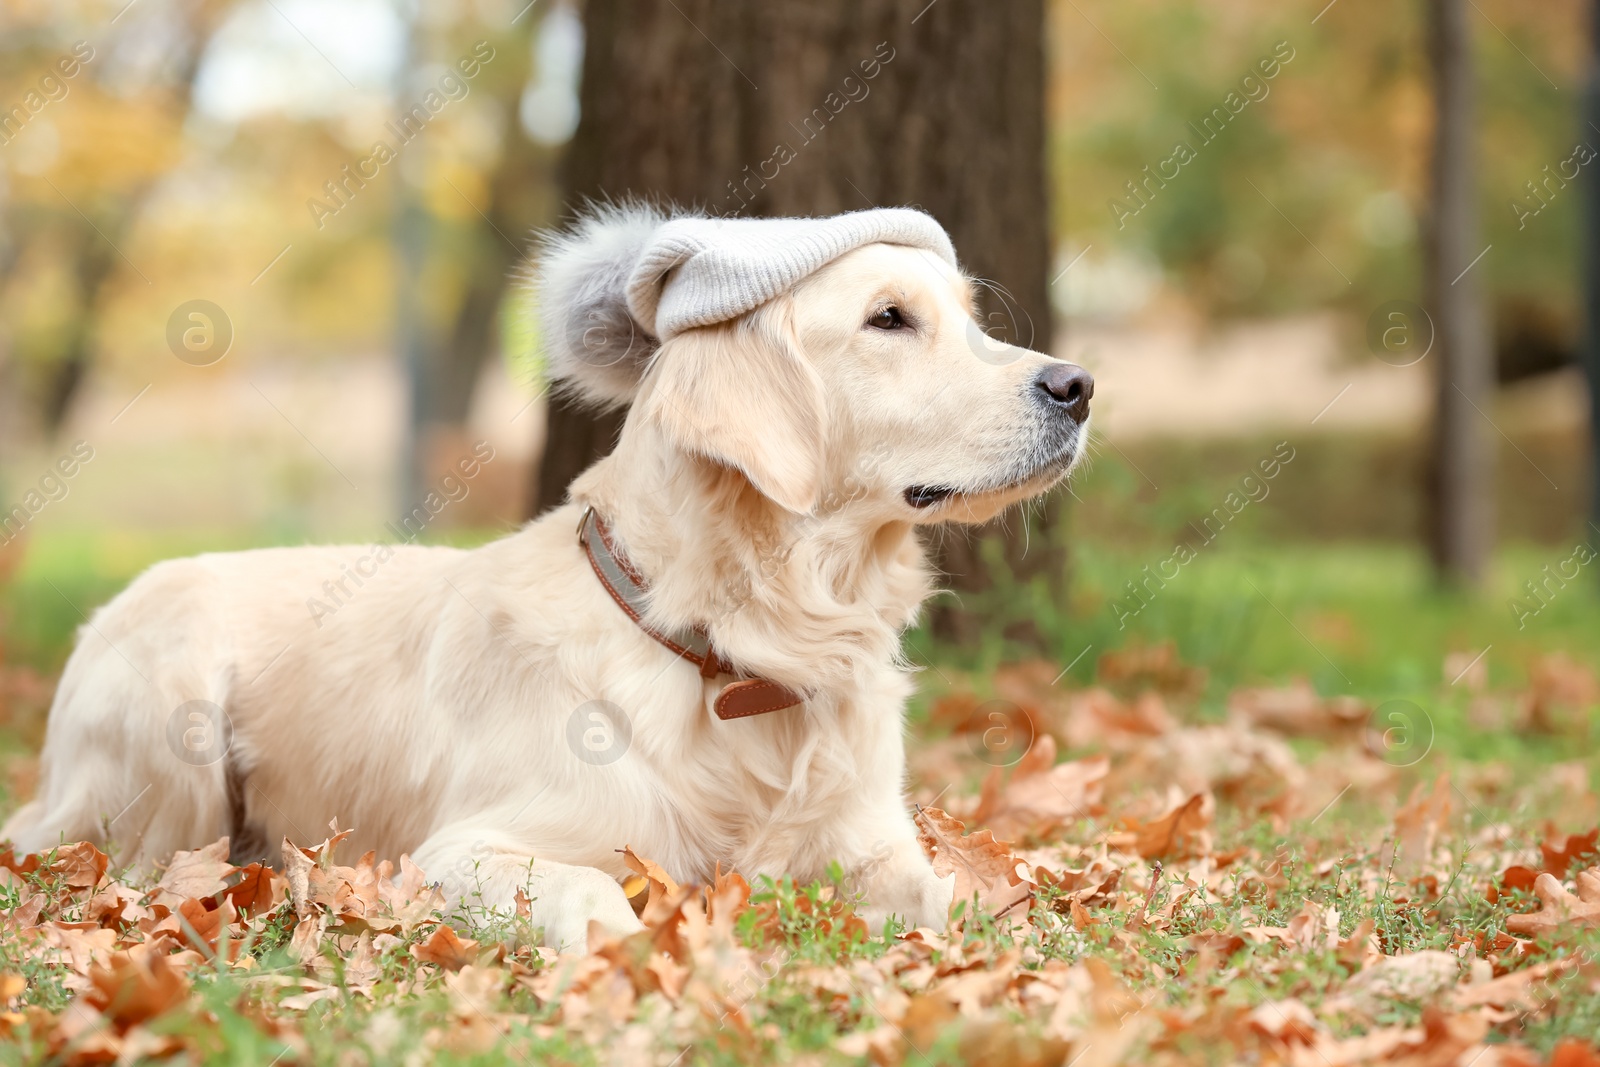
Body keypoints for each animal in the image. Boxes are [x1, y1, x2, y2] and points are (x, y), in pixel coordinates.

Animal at [0, 207, 1094, 953]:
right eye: (887, 320)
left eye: (970, 320)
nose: (1078, 384)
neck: (742, 642)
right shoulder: (463, 847)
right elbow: (592, 890)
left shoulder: (869, 843)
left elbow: (963, 894)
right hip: (170, 739)